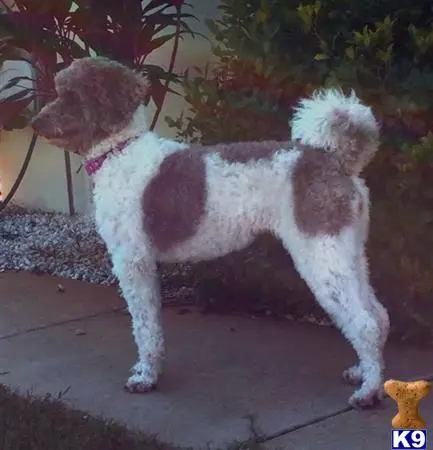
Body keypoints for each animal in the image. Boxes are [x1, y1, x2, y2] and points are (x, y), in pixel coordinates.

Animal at [30, 55, 388, 408]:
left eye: (71, 96)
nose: (35, 122)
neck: (120, 151)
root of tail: (336, 160)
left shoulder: (133, 261)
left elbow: (144, 326)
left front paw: (146, 377)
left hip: (322, 258)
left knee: (366, 324)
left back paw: (368, 391)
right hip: (348, 254)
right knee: (378, 315)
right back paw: (363, 372)